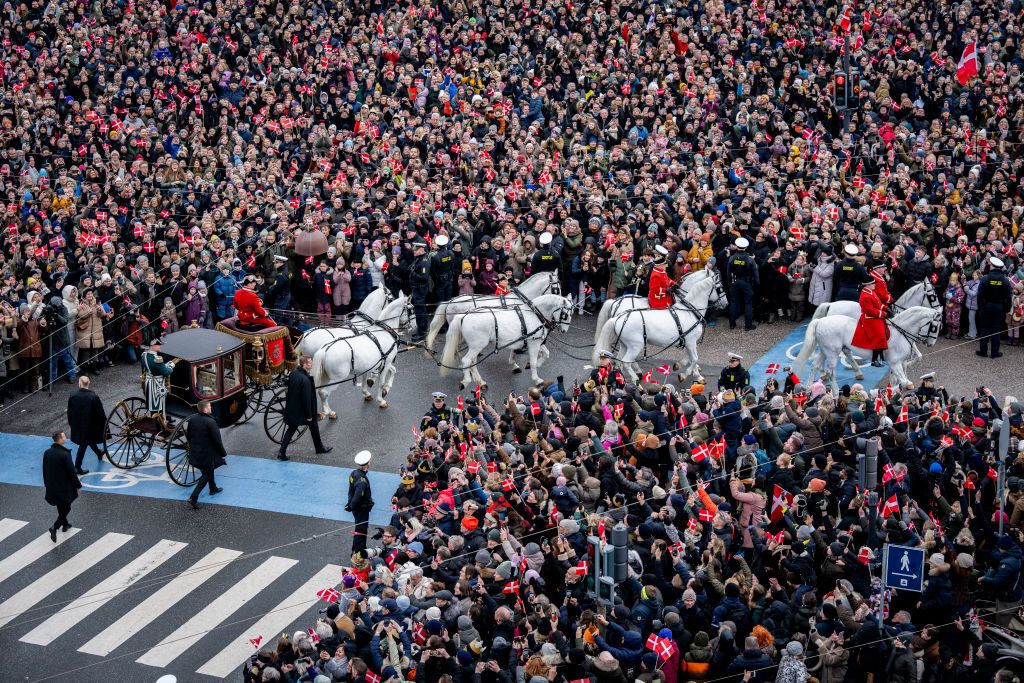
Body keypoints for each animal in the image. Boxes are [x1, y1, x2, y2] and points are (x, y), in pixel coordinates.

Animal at [440, 294, 577, 389]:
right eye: (566, 315)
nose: (564, 331)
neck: (534, 314)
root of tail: (463, 316)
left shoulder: (535, 341)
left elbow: (546, 354)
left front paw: (535, 364)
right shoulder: (533, 343)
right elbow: (533, 362)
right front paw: (537, 378)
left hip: (475, 347)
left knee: (472, 361)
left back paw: (480, 381)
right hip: (477, 346)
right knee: (466, 360)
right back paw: (466, 380)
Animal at [589, 272, 724, 385]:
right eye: (720, 288)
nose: (725, 303)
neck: (689, 310)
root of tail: (619, 314)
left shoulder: (688, 341)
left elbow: (691, 357)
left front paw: (686, 367)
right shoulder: (690, 341)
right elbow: (694, 358)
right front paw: (688, 374)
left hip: (625, 344)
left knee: (621, 360)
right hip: (636, 345)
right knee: (626, 361)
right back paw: (635, 377)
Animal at [790, 305, 942, 395]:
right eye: (934, 327)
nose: (930, 344)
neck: (900, 332)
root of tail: (820, 321)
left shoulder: (897, 363)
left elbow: (895, 380)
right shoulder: (894, 363)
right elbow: (904, 381)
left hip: (824, 350)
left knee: (815, 366)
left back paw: (809, 389)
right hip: (832, 353)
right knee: (830, 371)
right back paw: (835, 392)